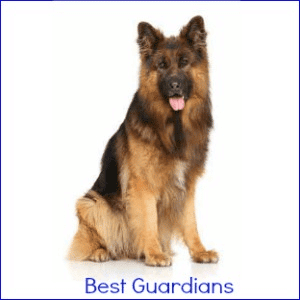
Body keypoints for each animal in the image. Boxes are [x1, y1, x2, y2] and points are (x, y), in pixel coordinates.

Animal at [68, 16, 218, 266]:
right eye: (162, 65)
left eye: (184, 62)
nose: (175, 85)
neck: (172, 126)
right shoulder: (142, 184)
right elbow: (148, 220)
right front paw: (154, 253)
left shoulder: (187, 184)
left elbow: (190, 222)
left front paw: (199, 251)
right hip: (91, 203)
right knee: (85, 242)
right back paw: (100, 252)